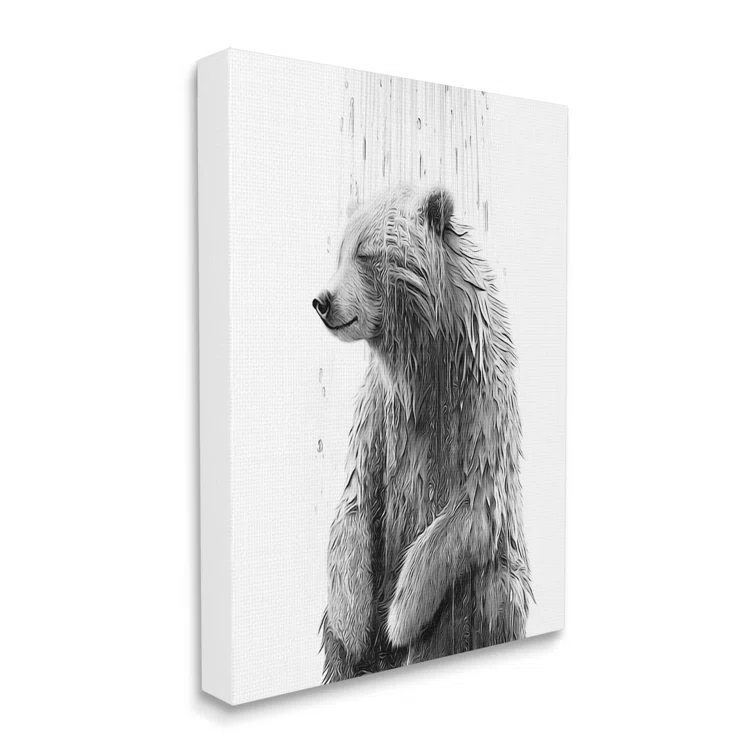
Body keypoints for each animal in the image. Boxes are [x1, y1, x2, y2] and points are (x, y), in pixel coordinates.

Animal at [313, 185, 532, 683]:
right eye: (339, 252)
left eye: (366, 253)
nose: (322, 300)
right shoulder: (380, 413)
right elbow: (354, 502)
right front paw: (357, 625)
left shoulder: (478, 406)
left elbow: (469, 511)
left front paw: (398, 617)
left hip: (491, 590)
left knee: (488, 594)